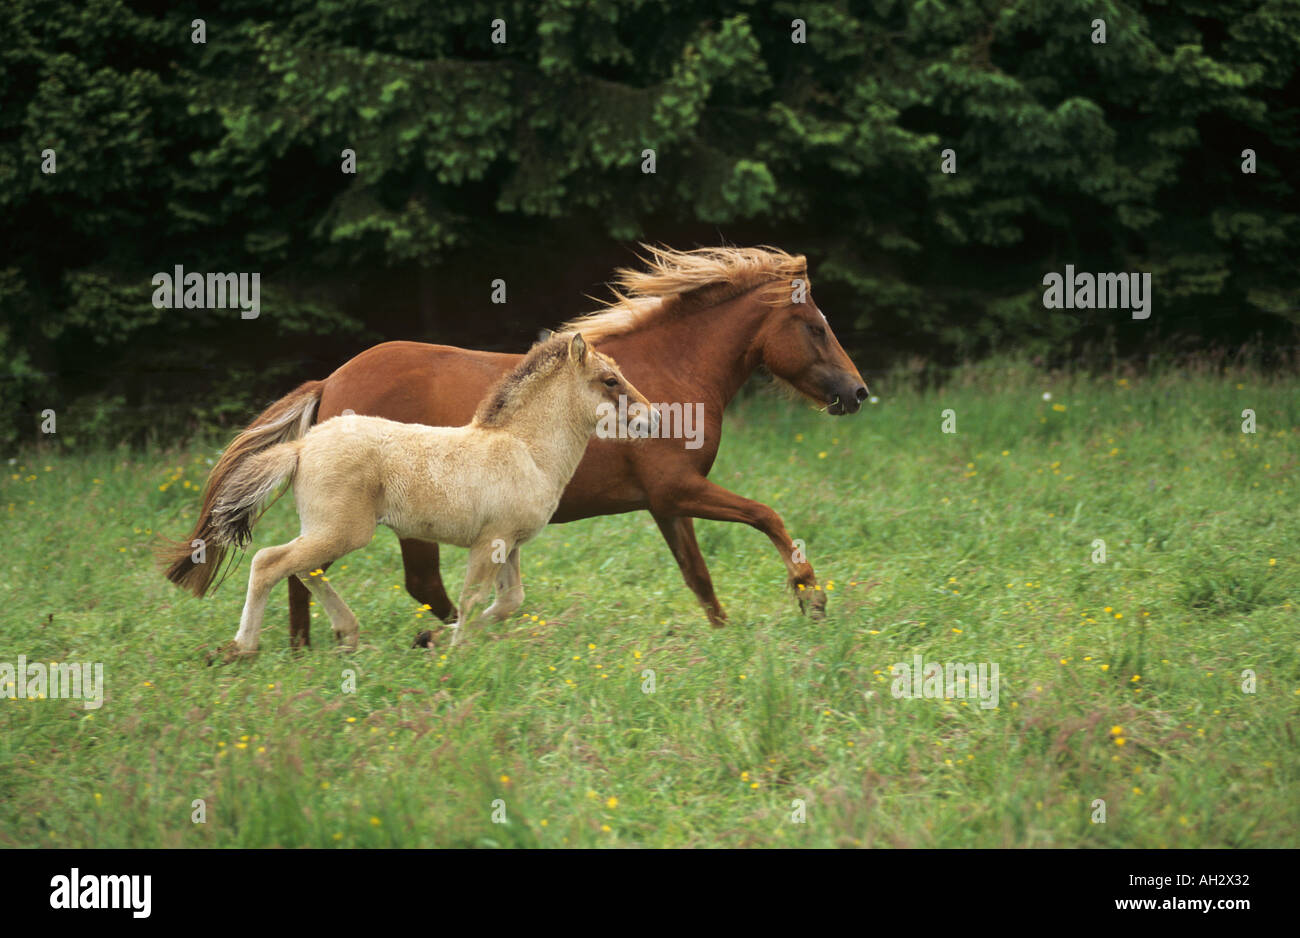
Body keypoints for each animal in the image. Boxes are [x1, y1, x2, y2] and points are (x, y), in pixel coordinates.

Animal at [209, 332, 655, 654]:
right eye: (610, 380)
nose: (652, 417)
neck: (525, 449)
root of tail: (302, 447)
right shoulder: (490, 542)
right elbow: (473, 598)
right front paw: (454, 649)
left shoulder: (509, 544)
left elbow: (509, 601)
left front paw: (436, 637)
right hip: (342, 531)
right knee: (269, 562)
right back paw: (242, 648)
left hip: (327, 531)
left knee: (303, 569)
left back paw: (346, 635)